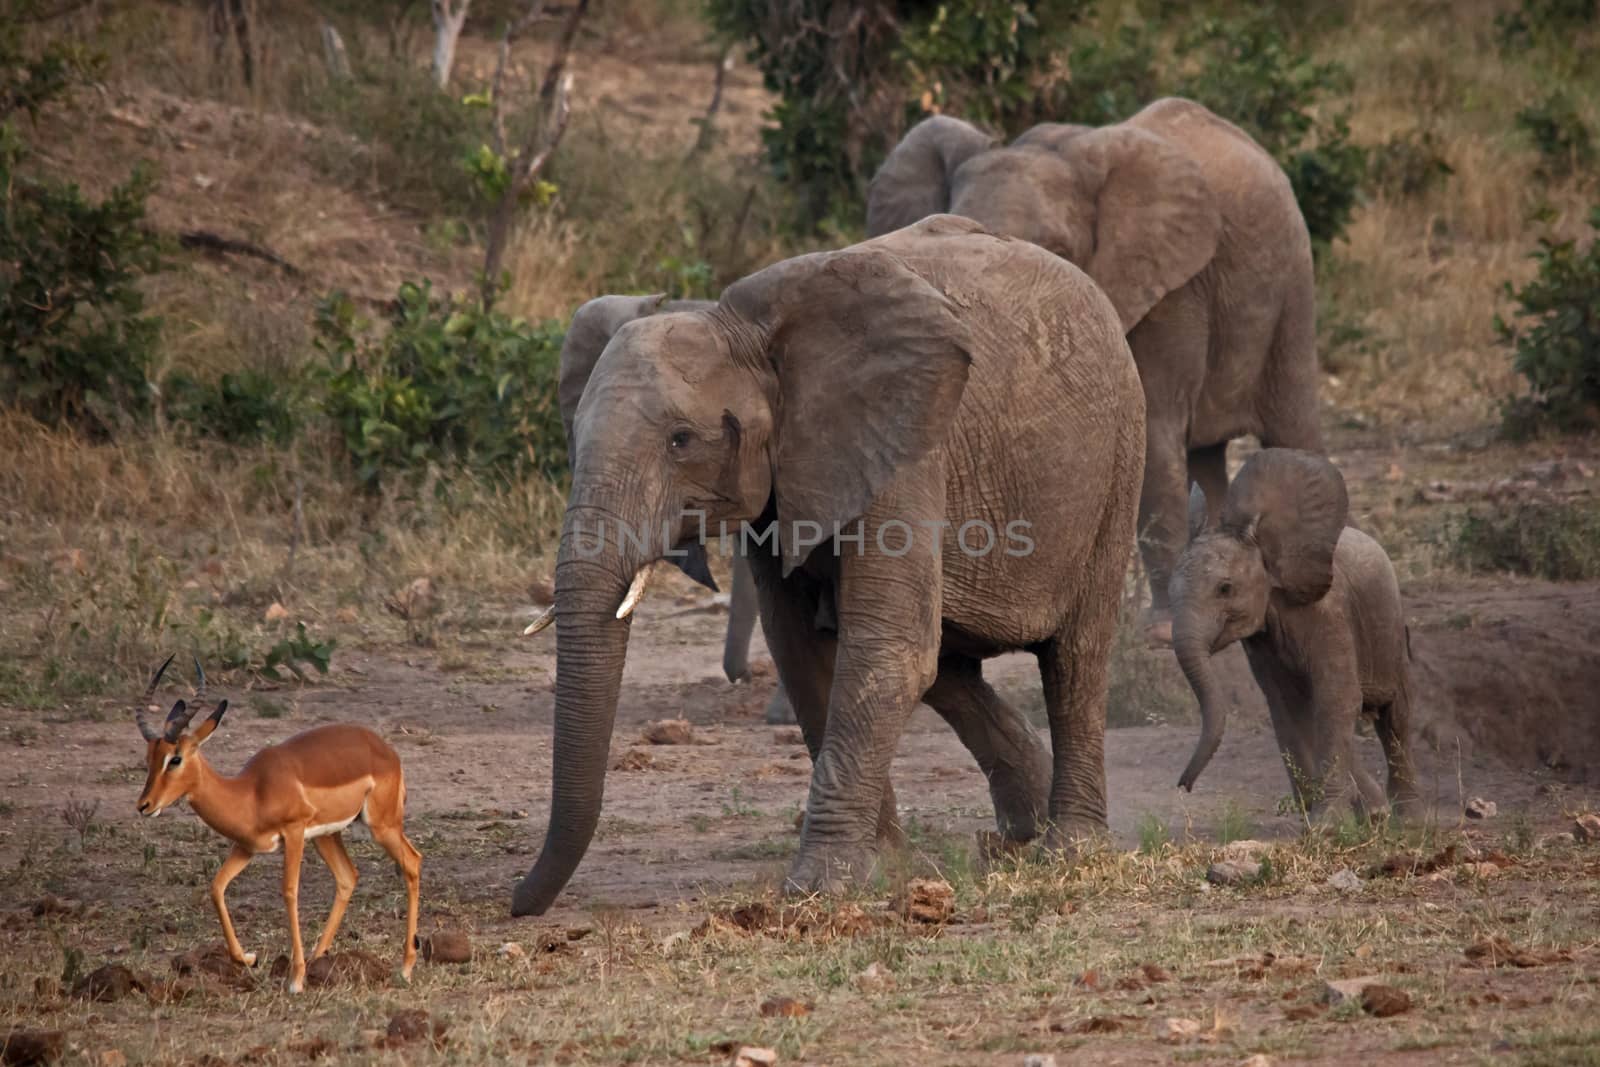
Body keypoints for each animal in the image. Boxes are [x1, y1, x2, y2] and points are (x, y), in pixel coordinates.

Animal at [870, 95, 1318, 643]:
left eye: (1061, 251)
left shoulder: (1169, 290)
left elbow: (1153, 432)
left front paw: (1160, 633)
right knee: (1207, 459)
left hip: (1292, 282)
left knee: (1293, 428)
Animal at [1171, 451, 1420, 825]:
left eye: (1225, 588)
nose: (1183, 786)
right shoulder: (1261, 641)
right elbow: (1285, 706)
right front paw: (1314, 820)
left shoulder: (1329, 612)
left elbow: (1337, 698)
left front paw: (1327, 825)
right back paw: (1375, 812)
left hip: (1391, 632)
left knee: (1396, 718)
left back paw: (1407, 819)